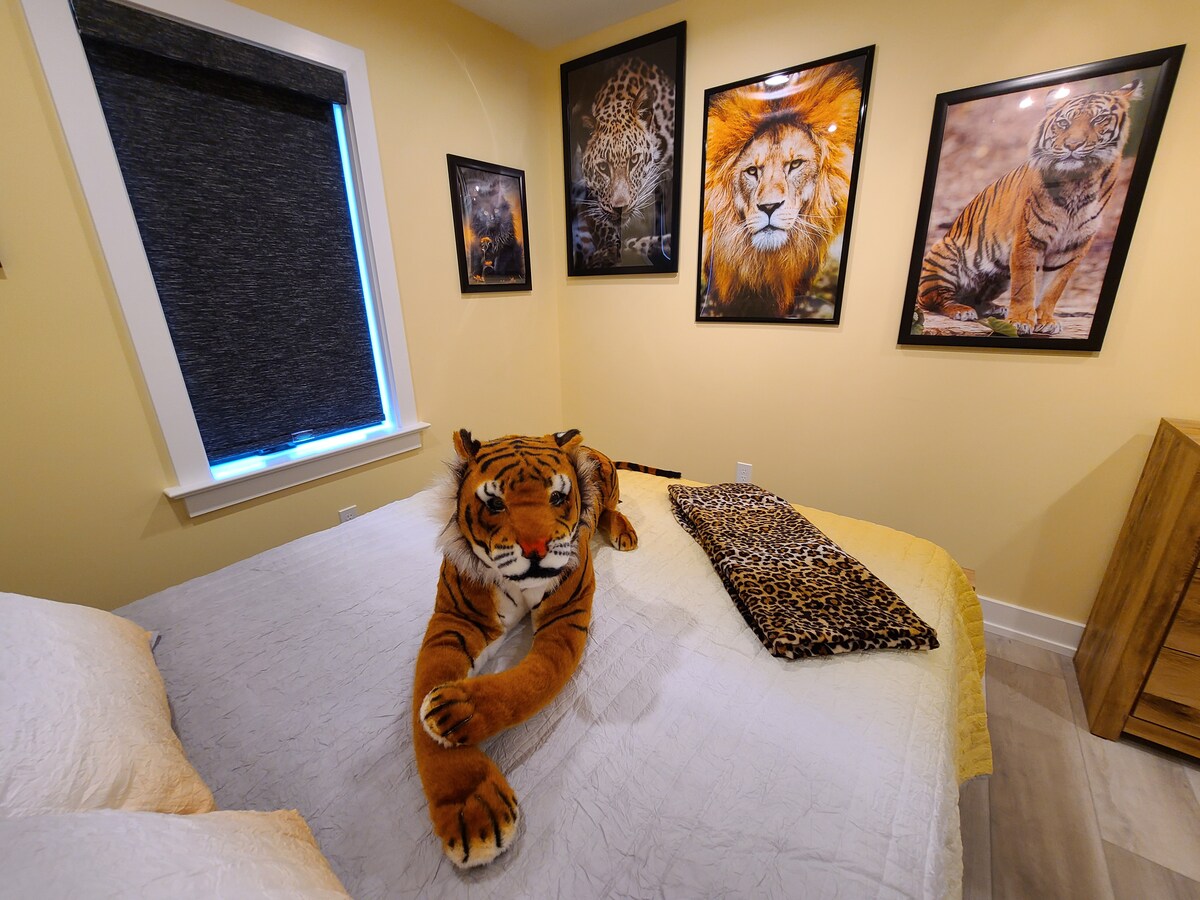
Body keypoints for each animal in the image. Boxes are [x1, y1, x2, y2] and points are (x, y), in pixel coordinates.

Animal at [411, 429, 679, 868]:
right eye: (495, 503)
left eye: (556, 497)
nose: (536, 550)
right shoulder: (456, 621)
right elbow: (427, 691)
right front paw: (471, 806)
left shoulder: (565, 618)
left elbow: (533, 682)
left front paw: (459, 709)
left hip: (609, 487)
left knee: (611, 510)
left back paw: (624, 533)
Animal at [917, 80, 1143, 335]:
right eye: (1063, 123)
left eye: (1099, 119)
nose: (1073, 145)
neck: (1079, 181)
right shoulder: (1028, 239)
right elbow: (1024, 285)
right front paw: (1020, 321)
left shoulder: (1074, 247)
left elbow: (1054, 287)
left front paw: (1045, 320)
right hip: (946, 255)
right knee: (937, 299)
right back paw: (961, 310)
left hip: (997, 276)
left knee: (977, 298)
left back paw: (996, 308)